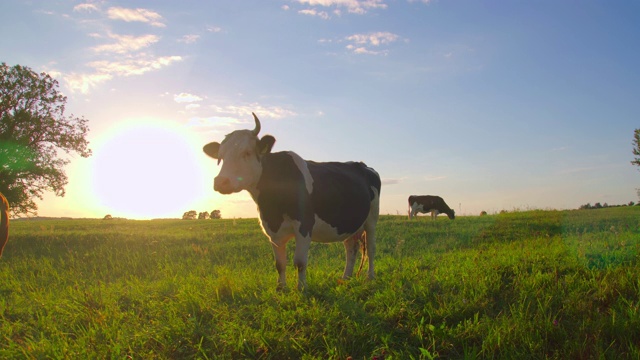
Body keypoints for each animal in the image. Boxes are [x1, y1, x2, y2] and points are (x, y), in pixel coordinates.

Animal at [202, 112, 380, 290]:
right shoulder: (272, 230)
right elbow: (279, 264)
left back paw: (370, 277)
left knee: (371, 248)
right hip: (351, 224)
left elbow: (299, 262)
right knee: (351, 247)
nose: (221, 182)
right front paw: (281, 288)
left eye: (246, 152)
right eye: (221, 156)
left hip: (372, 218)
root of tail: (362, 165)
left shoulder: (304, 226)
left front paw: (301, 288)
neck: (272, 205)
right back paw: (345, 278)